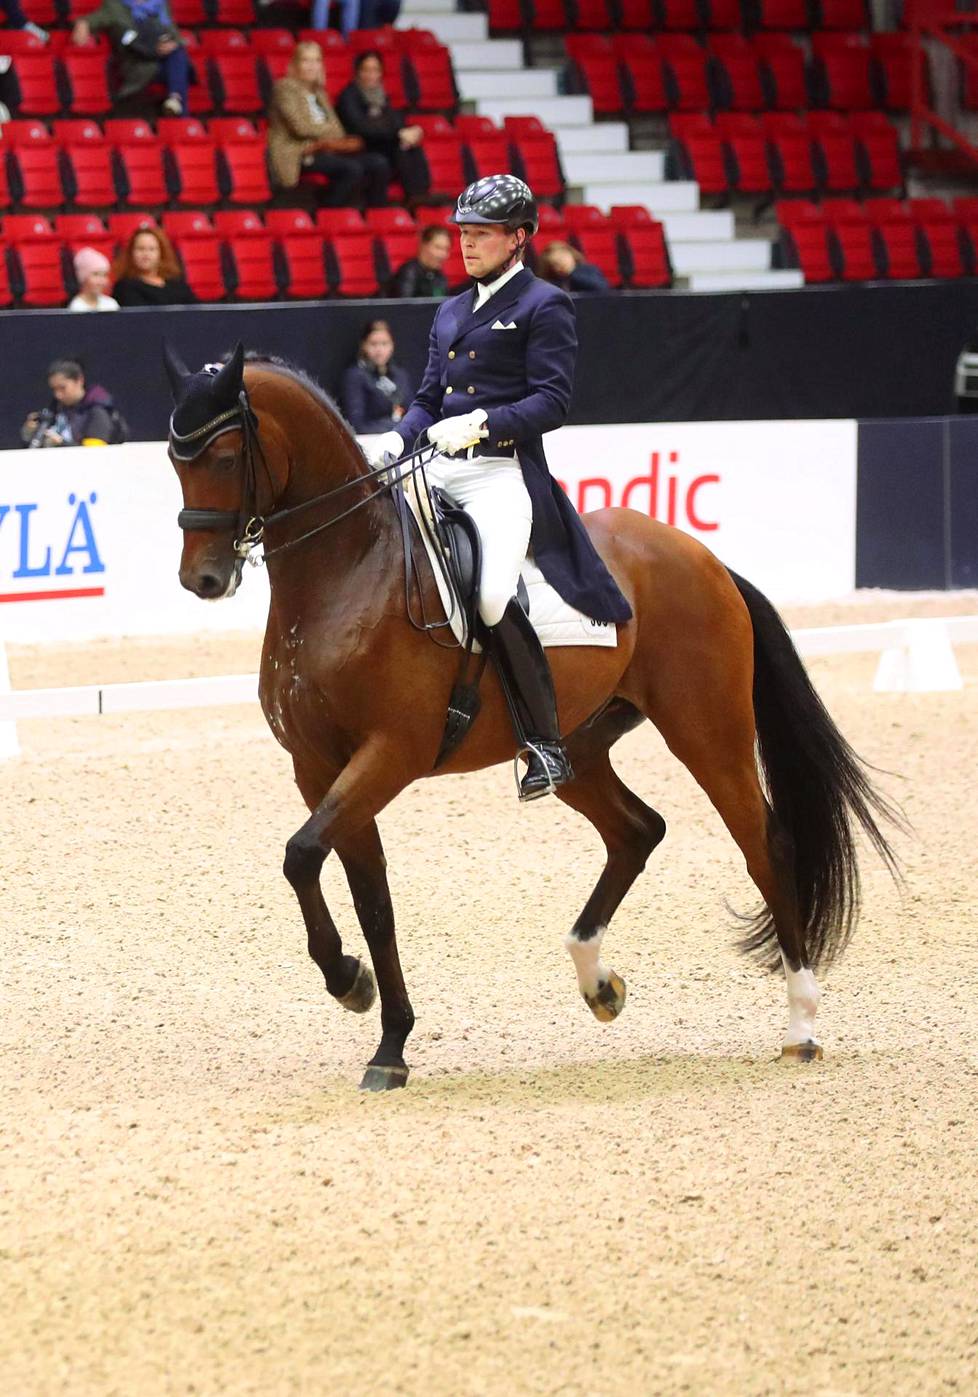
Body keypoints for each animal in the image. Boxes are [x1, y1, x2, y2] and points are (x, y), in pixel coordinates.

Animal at [164, 346, 899, 1089]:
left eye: (224, 456)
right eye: (175, 459)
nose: (203, 580)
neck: (349, 573)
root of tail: (702, 556)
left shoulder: (390, 754)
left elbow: (303, 855)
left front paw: (350, 982)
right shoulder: (318, 768)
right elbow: (366, 894)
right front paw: (387, 1037)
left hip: (706, 728)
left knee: (764, 844)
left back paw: (800, 1024)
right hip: (578, 744)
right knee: (637, 830)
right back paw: (599, 982)